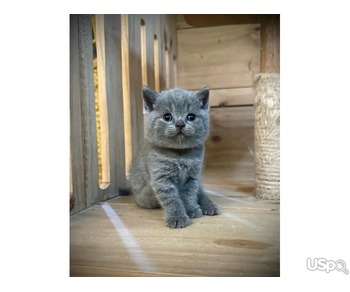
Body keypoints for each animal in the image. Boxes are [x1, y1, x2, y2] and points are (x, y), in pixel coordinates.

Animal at [129, 86, 221, 228]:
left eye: (191, 116)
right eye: (167, 116)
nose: (180, 124)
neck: (180, 155)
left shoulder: (192, 177)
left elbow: (189, 194)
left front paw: (192, 209)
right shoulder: (161, 178)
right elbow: (172, 199)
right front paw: (178, 217)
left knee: (200, 192)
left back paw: (210, 206)